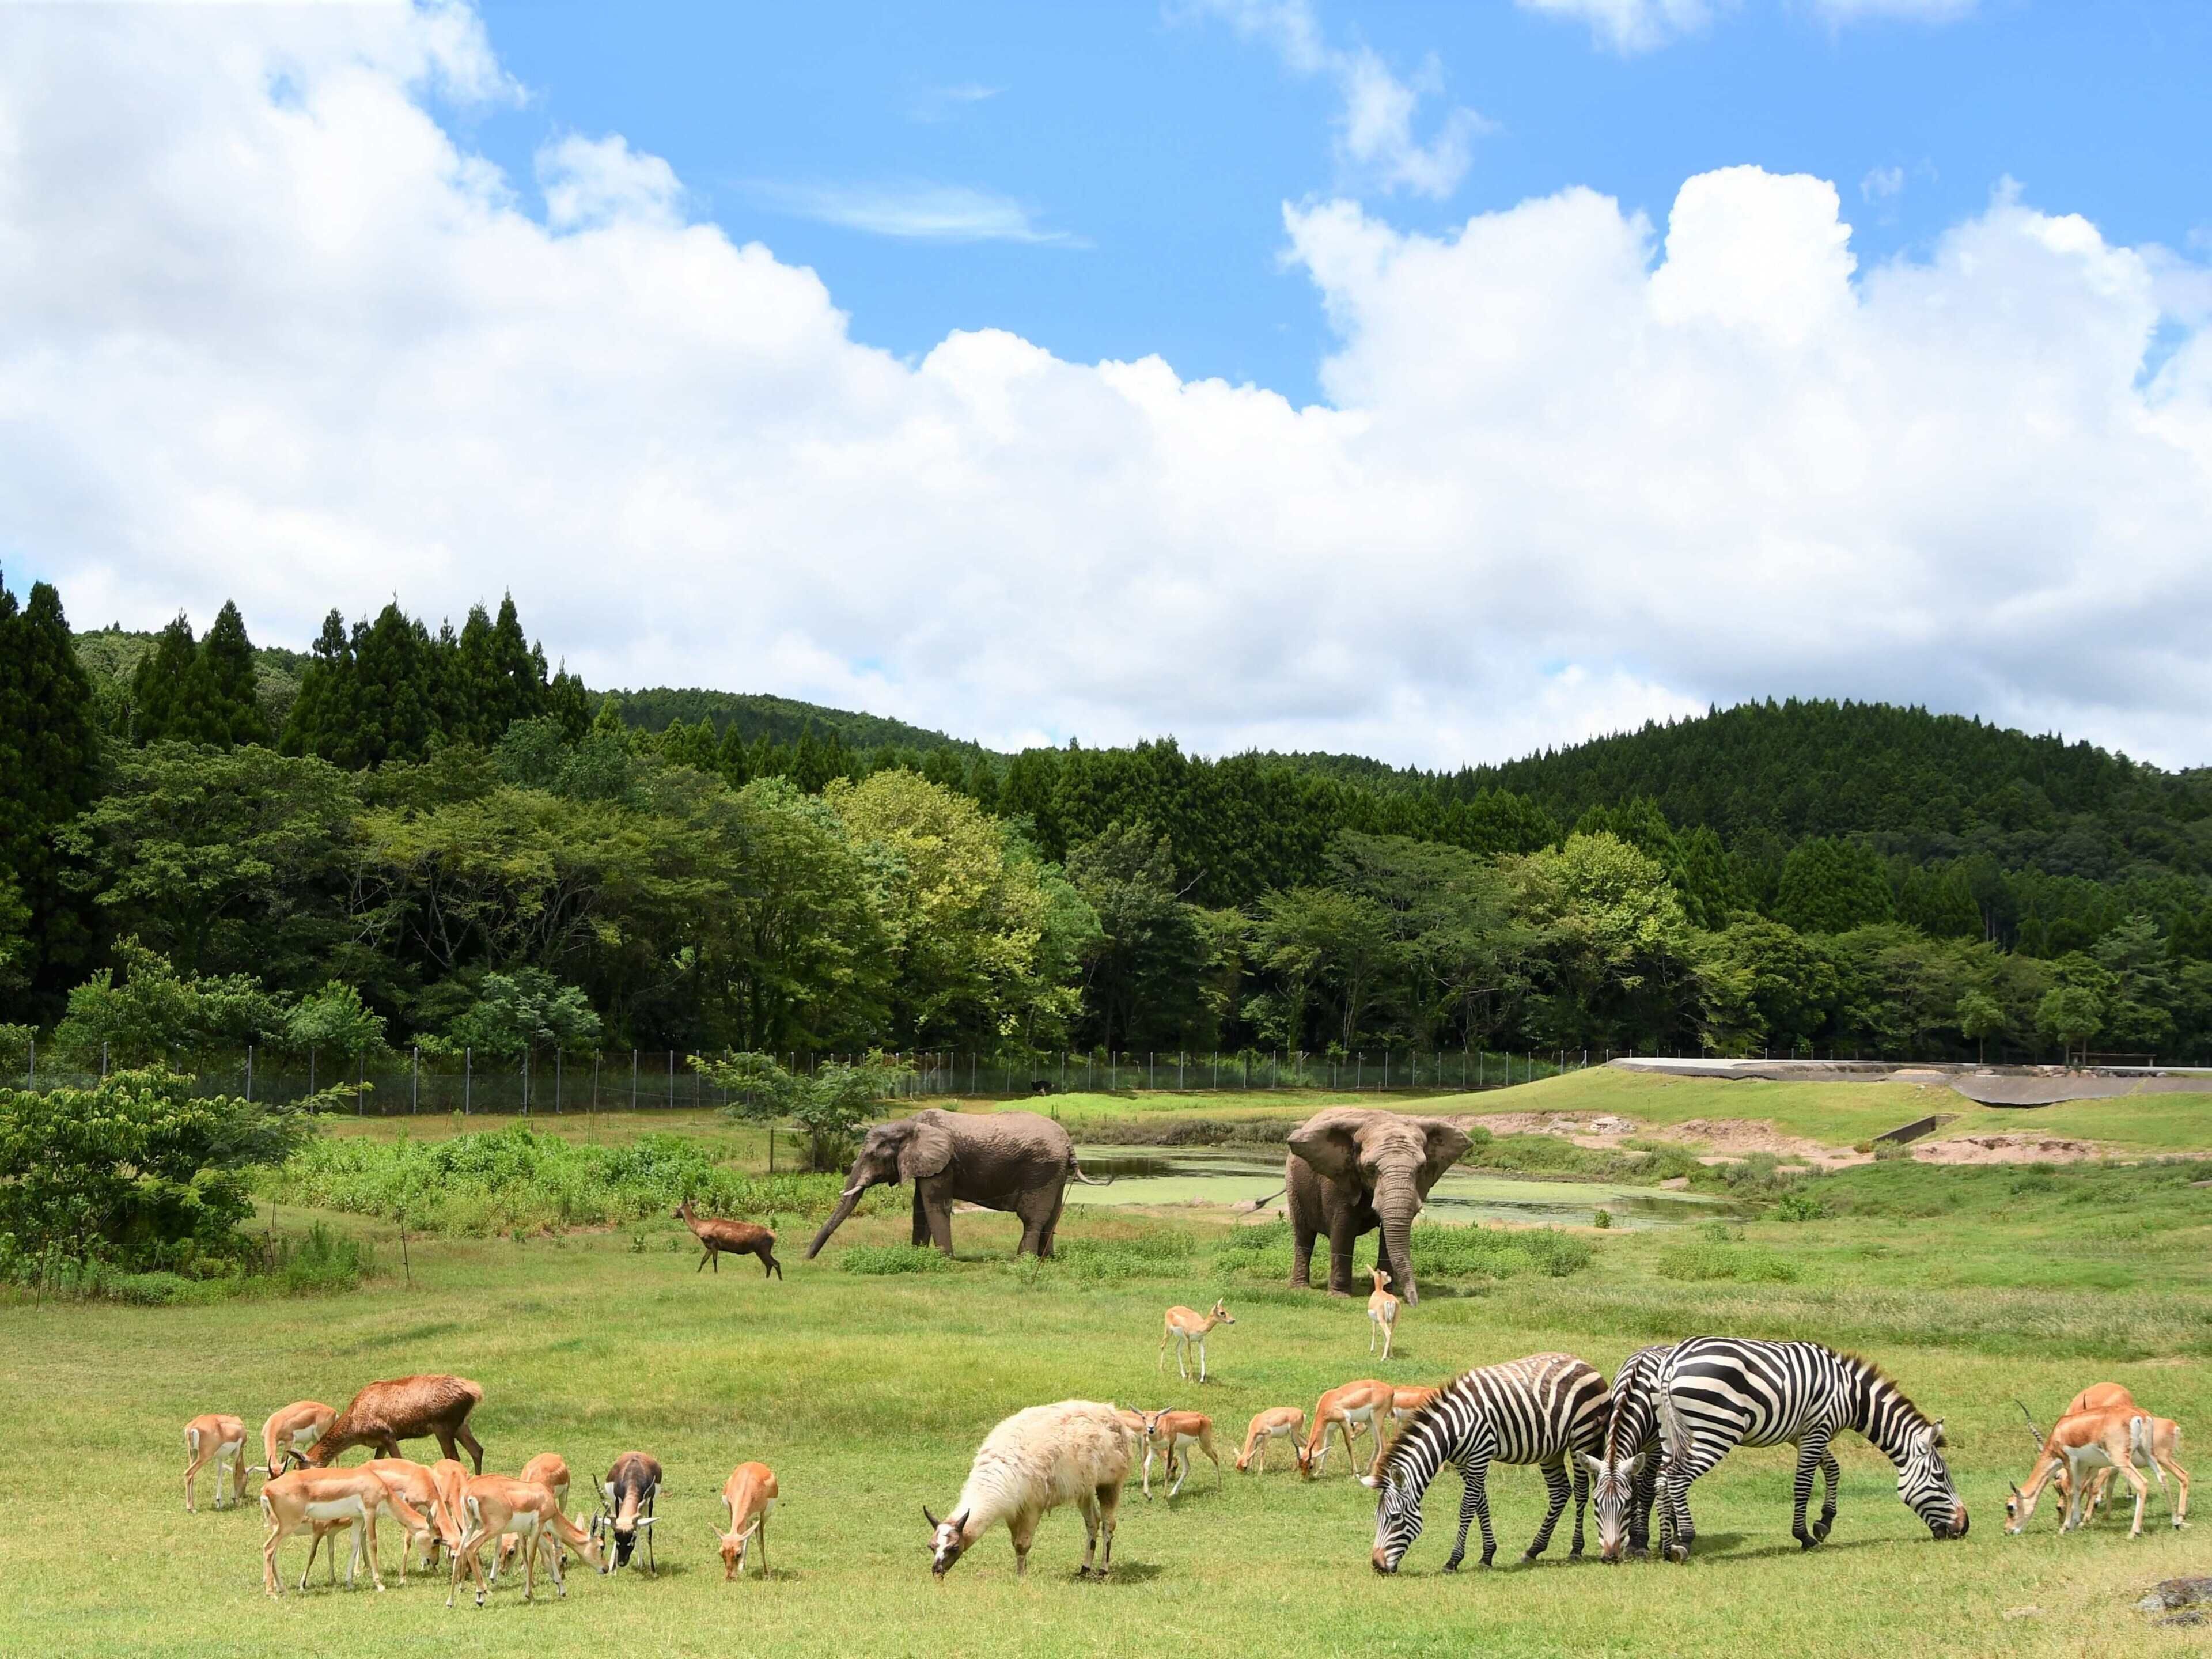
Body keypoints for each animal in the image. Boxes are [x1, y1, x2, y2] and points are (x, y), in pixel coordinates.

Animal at [804, 1108, 1106, 1261]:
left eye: (872, 1156)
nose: (806, 1259)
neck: (909, 1124)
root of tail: (1069, 1144)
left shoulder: (944, 1163)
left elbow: (936, 1205)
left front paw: (944, 1260)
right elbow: (919, 1208)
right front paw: (917, 1256)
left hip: (1041, 1169)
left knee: (1032, 1217)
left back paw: (1024, 1260)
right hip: (1056, 1173)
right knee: (1053, 1215)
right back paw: (1047, 1260)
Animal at [1285, 1106, 1471, 1305]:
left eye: (1421, 1169)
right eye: (1370, 1170)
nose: (1413, 1302)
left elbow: (1387, 1236)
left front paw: (1386, 1292)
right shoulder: (1337, 1181)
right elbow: (1343, 1230)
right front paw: (1340, 1296)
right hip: (1293, 1185)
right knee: (1304, 1235)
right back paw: (1300, 1288)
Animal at [1370, 1352, 1610, 1575]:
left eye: (1395, 1518)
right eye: (1376, 1518)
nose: (1377, 1566)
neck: (1453, 1428)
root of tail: (1584, 1363)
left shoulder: (1480, 1455)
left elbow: (1468, 1506)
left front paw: (1453, 1560)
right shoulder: (1463, 1462)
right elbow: (1481, 1503)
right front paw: (1487, 1555)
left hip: (1582, 1437)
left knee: (1581, 1491)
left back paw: (1576, 1549)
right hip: (1553, 1449)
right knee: (1560, 1492)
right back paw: (1534, 1550)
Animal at [1584, 1343, 1674, 1562]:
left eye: (1624, 1504)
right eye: (1596, 1503)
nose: (1609, 1557)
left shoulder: (1655, 1449)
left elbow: (1646, 1492)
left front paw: (1640, 1543)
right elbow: (1634, 1488)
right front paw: (1633, 1540)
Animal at [1649, 1337, 1968, 1561]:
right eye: (1940, 1477)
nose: (1964, 1528)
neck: (1853, 1397)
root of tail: (1673, 1361)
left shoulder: (1804, 1434)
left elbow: (1834, 1469)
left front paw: (1824, 1522)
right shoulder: (1818, 1430)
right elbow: (1803, 1484)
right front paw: (1804, 1536)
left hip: (1669, 1431)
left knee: (1662, 1479)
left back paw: (1667, 1546)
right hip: (1717, 1431)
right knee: (1678, 1479)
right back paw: (1685, 1541)